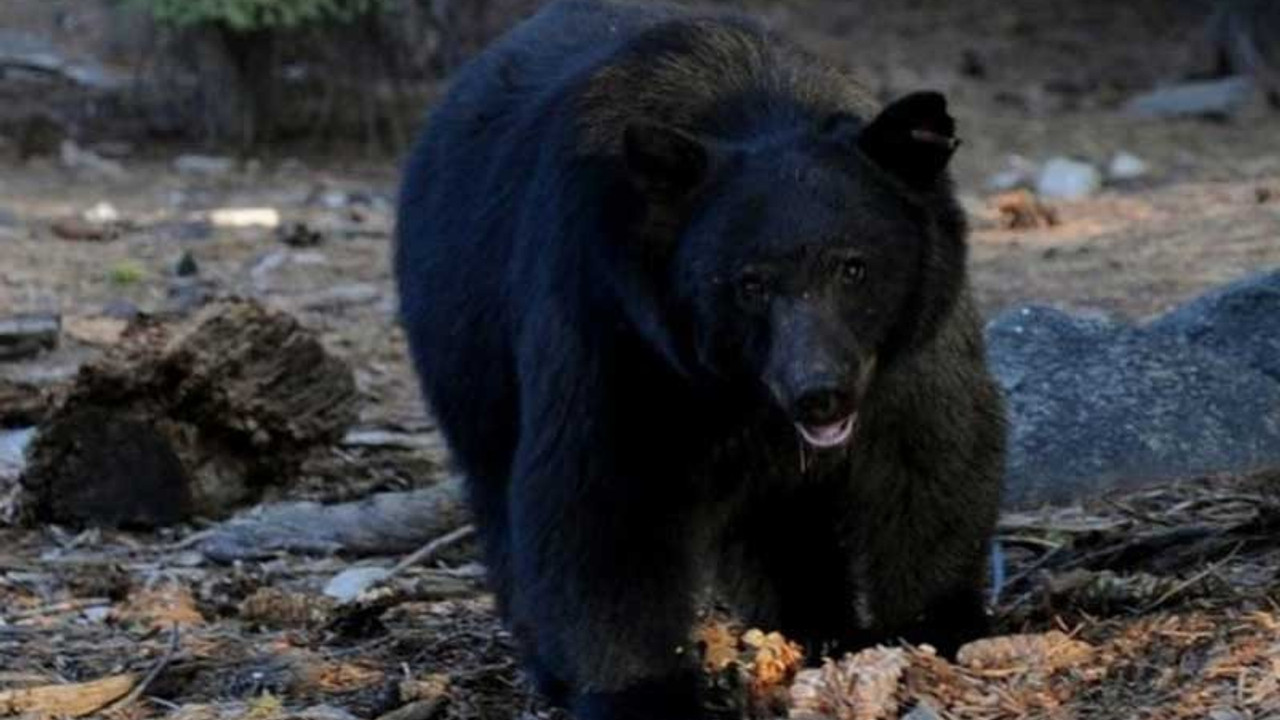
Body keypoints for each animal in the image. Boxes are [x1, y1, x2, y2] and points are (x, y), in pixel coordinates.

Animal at [394, 2, 1003, 712]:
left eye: (854, 267)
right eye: (749, 283)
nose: (818, 393)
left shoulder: (911, 348)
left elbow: (931, 454)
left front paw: (936, 625)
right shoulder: (615, 321)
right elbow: (604, 496)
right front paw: (641, 691)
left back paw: (812, 625)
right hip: (466, 350)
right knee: (500, 493)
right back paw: (549, 666)